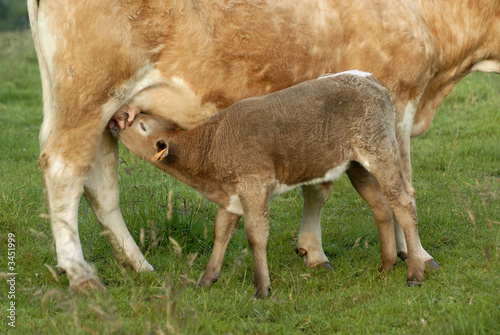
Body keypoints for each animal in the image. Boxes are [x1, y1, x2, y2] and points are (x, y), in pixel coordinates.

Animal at [112, 73, 426, 300]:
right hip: (358, 165)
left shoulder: (254, 185)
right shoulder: (231, 197)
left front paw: (261, 288)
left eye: (141, 125)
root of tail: (371, 80)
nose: (117, 118)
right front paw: (206, 279)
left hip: (380, 151)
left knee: (404, 202)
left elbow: (255, 235)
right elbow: (220, 233)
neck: (211, 146)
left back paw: (415, 273)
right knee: (382, 206)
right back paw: (386, 265)